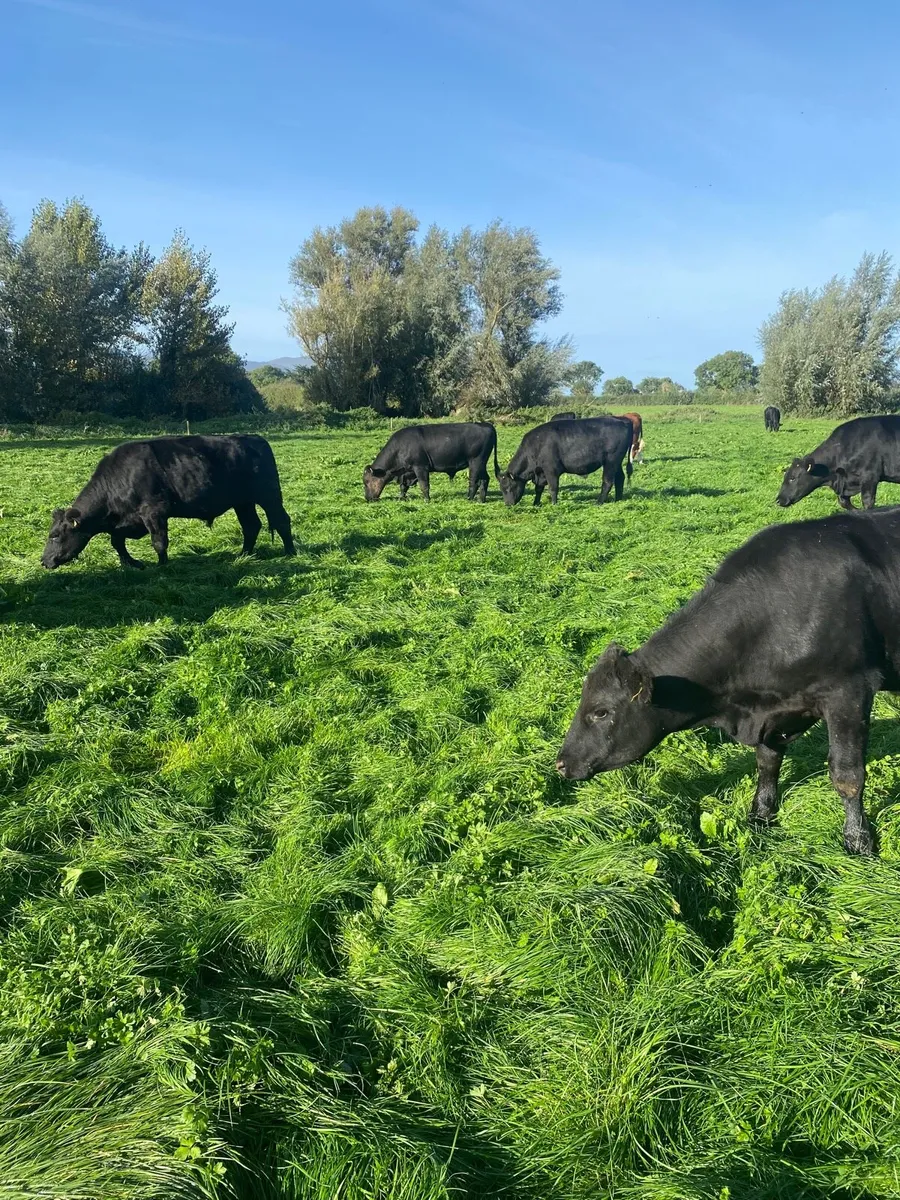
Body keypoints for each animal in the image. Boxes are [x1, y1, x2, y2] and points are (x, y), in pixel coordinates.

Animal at [41, 435, 295, 569]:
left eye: (55, 535)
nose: (44, 561)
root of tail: (254, 438)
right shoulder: (129, 521)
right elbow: (117, 541)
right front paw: (132, 563)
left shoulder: (154, 512)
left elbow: (159, 542)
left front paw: (162, 566)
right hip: (243, 502)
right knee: (251, 526)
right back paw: (243, 556)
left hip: (269, 495)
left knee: (282, 521)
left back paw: (290, 553)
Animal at [363, 422, 499, 502]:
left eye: (366, 482)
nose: (367, 498)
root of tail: (486, 424)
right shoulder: (408, 472)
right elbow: (403, 486)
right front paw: (401, 498)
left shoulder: (420, 467)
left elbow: (424, 485)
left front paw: (427, 500)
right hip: (481, 464)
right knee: (485, 479)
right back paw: (481, 500)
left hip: (475, 462)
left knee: (474, 482)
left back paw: (469, 498)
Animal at [497, 417, 633, 506]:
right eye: (501, 489)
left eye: (509, 487)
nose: (507, 504)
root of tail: (623, 421)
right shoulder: (540, 473)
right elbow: (538, 489)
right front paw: (536, 504)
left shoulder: (551, 471)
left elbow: (553, 488)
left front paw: (554, 505)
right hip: (617, 463)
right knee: (620, 478)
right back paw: (618, 500)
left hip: (610, 461)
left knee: (607, 482)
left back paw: (598, 502)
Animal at [555, 508, 900, 855]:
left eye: (600, 712)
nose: (561, 763)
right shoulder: (776, 710)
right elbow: (767, 761)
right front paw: (761, 815)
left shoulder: (849, 691)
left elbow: (847, 775)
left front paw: (858, 841)